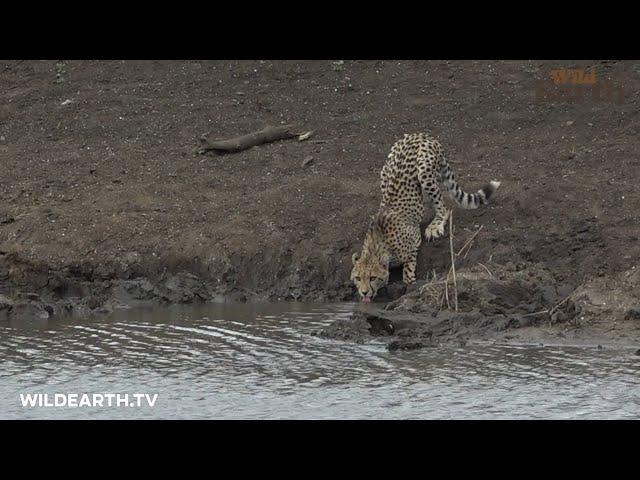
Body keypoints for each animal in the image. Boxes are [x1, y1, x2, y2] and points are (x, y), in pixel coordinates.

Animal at [350, 133, 500, 302]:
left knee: (444, 208)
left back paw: (435, 226)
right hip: (385, 171)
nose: (364, 292)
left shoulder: (414, 239)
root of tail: (418, 134)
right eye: (358, 278)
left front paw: (409, 281)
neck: (376, 245)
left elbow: (408, 266)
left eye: (372, 278)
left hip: (424, 172)